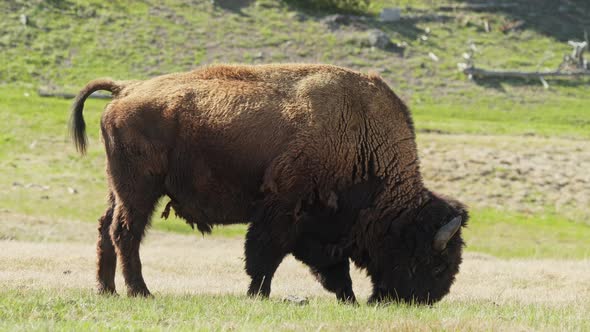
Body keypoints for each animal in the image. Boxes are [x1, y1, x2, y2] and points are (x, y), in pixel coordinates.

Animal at [70, 63, 468, 304]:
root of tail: (126, 89)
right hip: (140, 190)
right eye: (435, 263)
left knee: (106, 228)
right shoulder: (282, 209)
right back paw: (141, 292)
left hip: (117, 188)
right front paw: (257, 294)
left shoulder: (319, 227)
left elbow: (330, 268)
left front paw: (349, 300)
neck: (359, 136)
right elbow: (265, 256)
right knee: (126, 232)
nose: (425, 300)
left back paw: (106, 290)